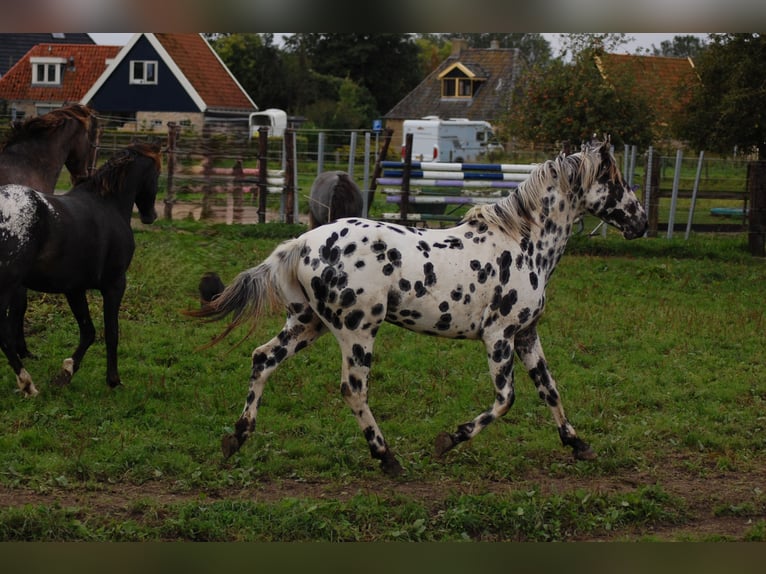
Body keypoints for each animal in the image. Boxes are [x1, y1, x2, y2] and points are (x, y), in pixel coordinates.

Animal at [192, 137, 648, 474]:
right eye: (617, 181)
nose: (642, 222)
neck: (523, 243)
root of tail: (302, 243)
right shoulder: (498, 336)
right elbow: (505, 400)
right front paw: (448, 440)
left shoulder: (526, 334)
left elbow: (550, 391)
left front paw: (578, 444)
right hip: (358, 331)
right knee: (353, 390)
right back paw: (387, 458)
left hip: (308, 324)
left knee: (262, 359)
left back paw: (237, 437)